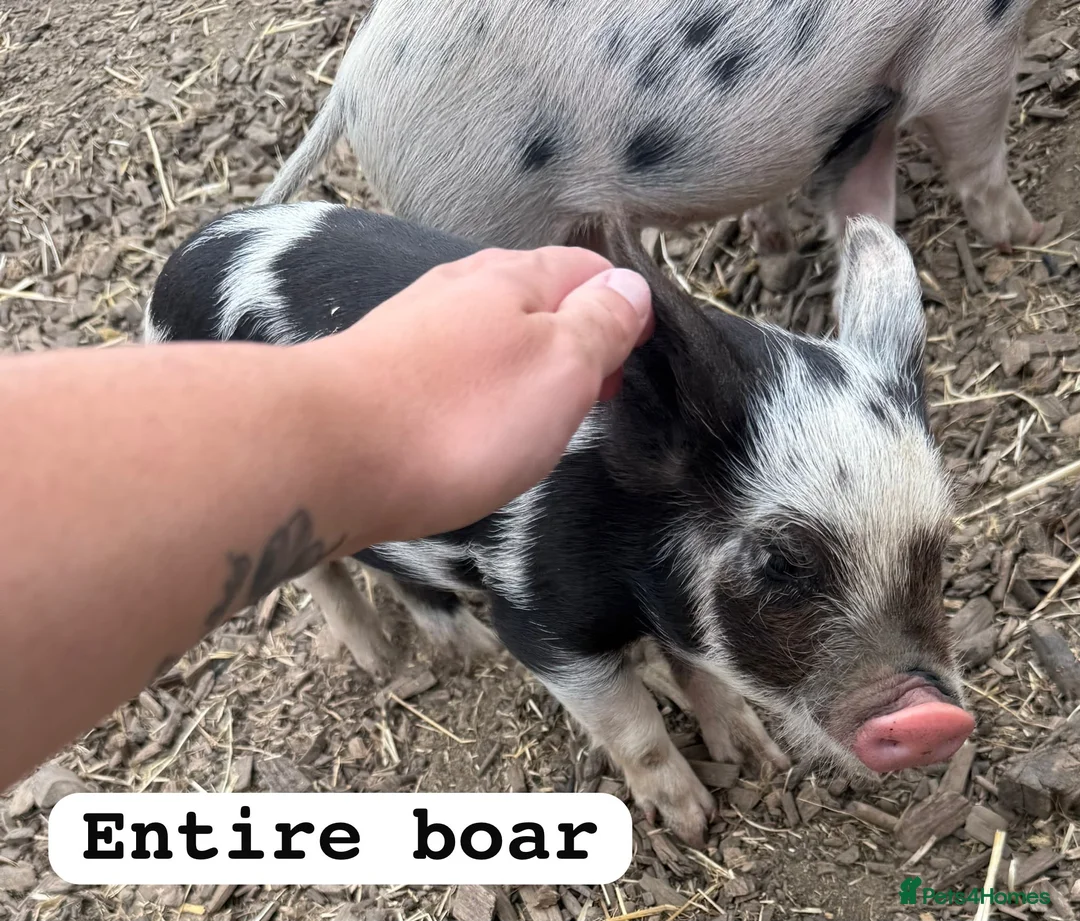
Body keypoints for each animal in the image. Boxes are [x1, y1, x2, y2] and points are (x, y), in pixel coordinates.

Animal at [144, 202, 976, 844]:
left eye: (938, 549)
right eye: (782, 560)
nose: (936, 716)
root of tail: (181, 262)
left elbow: (704, 676)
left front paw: (756, 757)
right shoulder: (541, 619)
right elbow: (632, 723)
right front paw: (694, 820)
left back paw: (465, 648)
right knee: (322, 572)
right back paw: (383, 659)